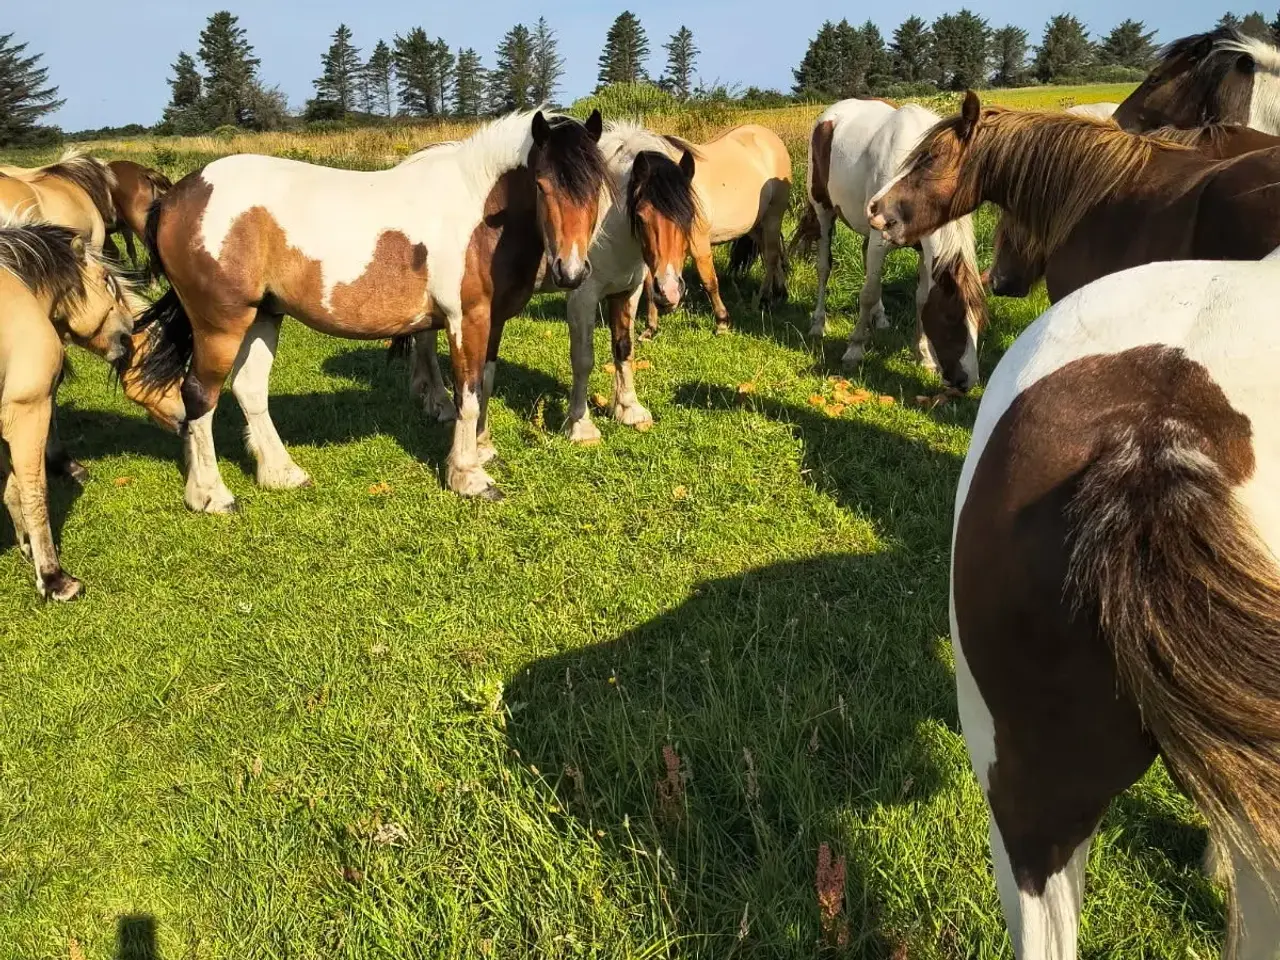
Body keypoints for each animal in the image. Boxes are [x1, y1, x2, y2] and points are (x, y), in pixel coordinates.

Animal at [0, 215, 138, 600]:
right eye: (107, 280)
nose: (131, 331)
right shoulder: (28, 413)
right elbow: (35, 494)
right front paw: (54, 578)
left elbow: (12, 488)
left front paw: (26, 547)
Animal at [135, 110, 609, 510]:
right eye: (543, 186)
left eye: (596, 189)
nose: (570, 271)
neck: (481, 211)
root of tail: (176, 197)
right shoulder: (466, 319)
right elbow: (468, 393)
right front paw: (469, 477)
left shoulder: (492, 322)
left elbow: (485, 384)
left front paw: (481, 449)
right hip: (221, 324)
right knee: (199, 395)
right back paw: (211, 495)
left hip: (263, 316)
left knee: (249, 390)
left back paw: (282, 474)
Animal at [637, 124, 792, 337]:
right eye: (641, 216)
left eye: (685, 213)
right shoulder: (651, 251)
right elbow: (649, 284)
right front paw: (650, 328)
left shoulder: (699, 245)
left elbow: (709, 280)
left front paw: (722, 323)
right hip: (755, 225)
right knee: (773, 253)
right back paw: (780, 293)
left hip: (773, 217)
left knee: (770, 256)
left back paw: (765, 299)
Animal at [805, 99, 987, 390]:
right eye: (950, 319)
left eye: (979, 320)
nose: (966, 382)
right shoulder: (880, 241)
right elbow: (867, 293)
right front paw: (854, 349)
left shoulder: (924, 250)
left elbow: (921, 298)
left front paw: (923, 356)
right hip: (823, 211)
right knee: (824, 267)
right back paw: (818, 324)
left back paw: (880, 318)